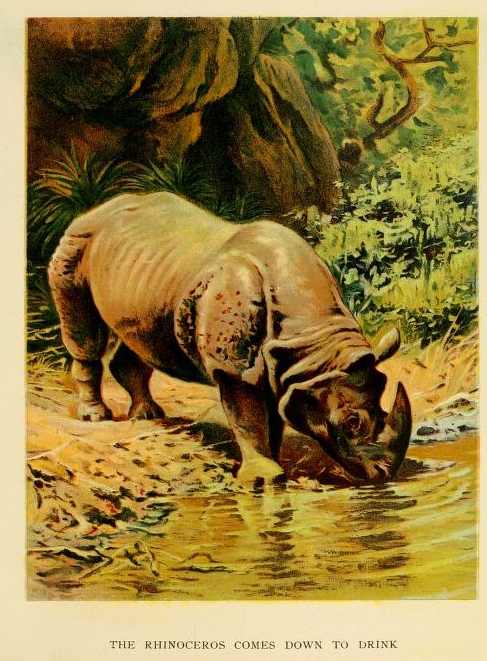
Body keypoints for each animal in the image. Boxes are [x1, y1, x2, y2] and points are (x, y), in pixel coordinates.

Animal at [48, 191, 411, 487]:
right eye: (351, 422)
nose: (383, 474)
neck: (314, 345)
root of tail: (97, 209)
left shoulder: (283, 369)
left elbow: (270, 415)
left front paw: (273, 461)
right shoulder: (236, 366)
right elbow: (246, 415)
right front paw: (264, 479)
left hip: (143, 274)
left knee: (139, 335)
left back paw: (148, 415)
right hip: (76, 243)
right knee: (84, 331)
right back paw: (96, 417)